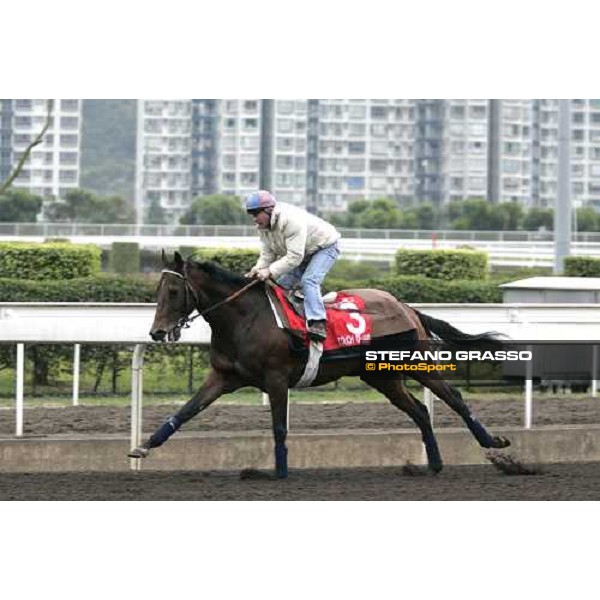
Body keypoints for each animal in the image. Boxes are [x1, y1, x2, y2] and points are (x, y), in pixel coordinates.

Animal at [127, 251, 510, 476]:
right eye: (157, 291)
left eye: (173, 292)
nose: (157, 332)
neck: (244, 318)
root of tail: (407, 307)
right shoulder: (222, 377)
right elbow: (184, 412)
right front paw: (142, 448)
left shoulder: (276, 378)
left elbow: (279, 427)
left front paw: (279, 472)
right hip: (383, 377)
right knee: (419, 410)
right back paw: (434, 463)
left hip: (414, 363)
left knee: (453, 398)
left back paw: (493, 444)